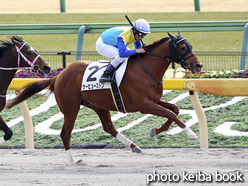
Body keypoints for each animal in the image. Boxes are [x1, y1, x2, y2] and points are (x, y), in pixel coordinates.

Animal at [6, 32, 202, 166]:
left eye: (190, 45)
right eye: (183, 48)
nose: (198, 65)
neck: (146, 69)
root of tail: (59, 76)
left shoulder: (154, 100)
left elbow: (174, 109)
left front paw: (156, 130)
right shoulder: (143, 104)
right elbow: (171, 113)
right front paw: (191, 133)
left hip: (98, 105)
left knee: (108, 127)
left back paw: (134, 146)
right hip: (71, 108)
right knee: (65, 133)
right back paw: (72, 160)